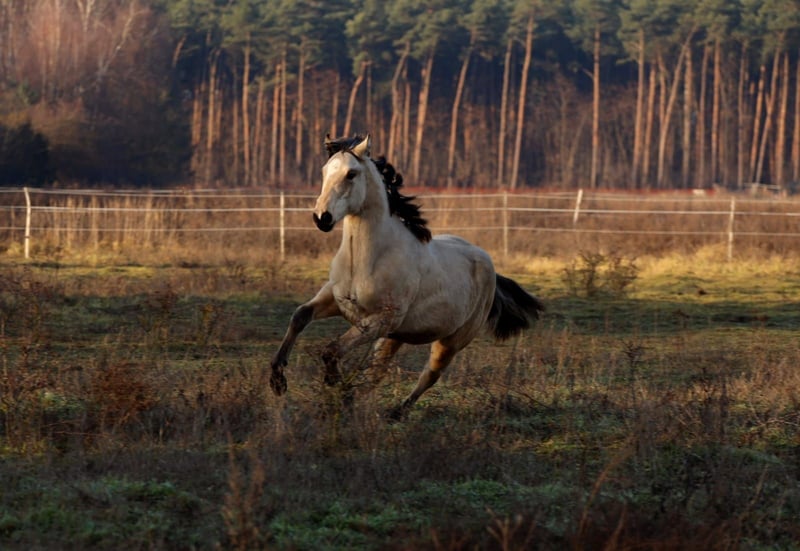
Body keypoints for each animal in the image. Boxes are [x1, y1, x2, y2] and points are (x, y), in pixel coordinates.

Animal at [269, 134, 544, 418]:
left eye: (351, 174)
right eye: (325, 171)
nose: (321, 218)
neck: (366, 260)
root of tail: (489, 266)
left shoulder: (381, 320)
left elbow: (332, 350)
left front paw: (333, 382)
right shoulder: (335, 301)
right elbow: (300, 316)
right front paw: (278, 380)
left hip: (451, 341)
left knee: (429, 375)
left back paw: (394, 411)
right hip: (395, 338)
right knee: (377, 373)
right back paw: (351, 400)